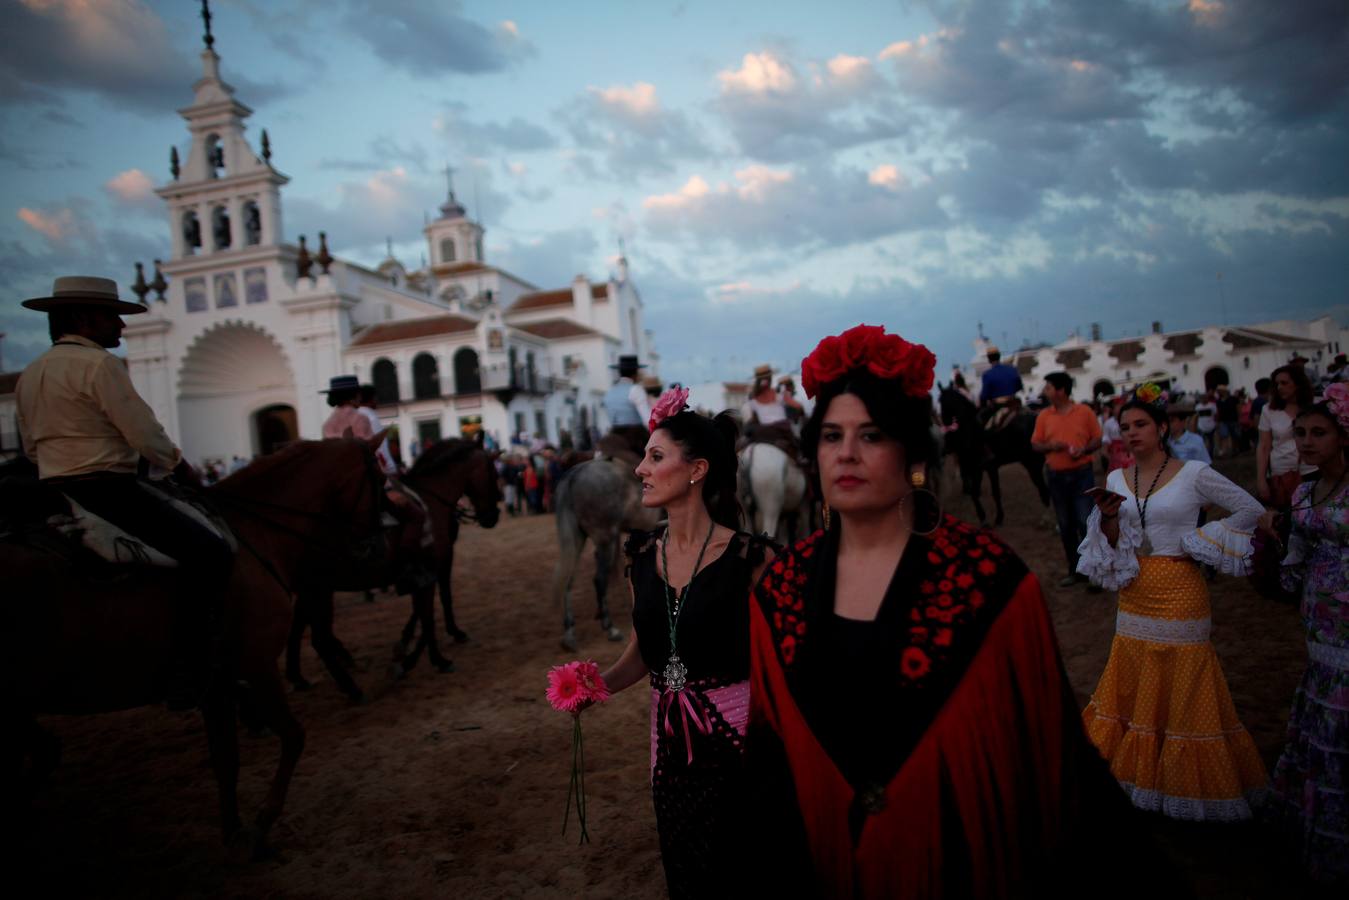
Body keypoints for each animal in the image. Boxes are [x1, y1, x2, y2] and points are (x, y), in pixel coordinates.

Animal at [7, 439, 385, 858]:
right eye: (381, 480)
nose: (376, 545)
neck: (253, 536)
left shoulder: (214, 682)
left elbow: (226, 759)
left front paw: (234, 832)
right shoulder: (255, 664)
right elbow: (292, 736)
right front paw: (262, 822)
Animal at [284, 437, 501, 696]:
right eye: (492, 471)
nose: (494, 517)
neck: (430, 502)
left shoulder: (424, 575)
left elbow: (424, 614)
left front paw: (414, 653)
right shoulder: (432, 569)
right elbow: (430, 615)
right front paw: (429, 658)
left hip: (313, 590)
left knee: (302, 627)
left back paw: (301, 675)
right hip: (318, 590)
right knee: (317, 636)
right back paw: (350, 686)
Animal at [550, 461, 661, 650]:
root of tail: (574, 474)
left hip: (578, 539)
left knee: (568, 579)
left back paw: (569, 634)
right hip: (605, 539)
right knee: (599, 580)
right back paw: (610, 628)